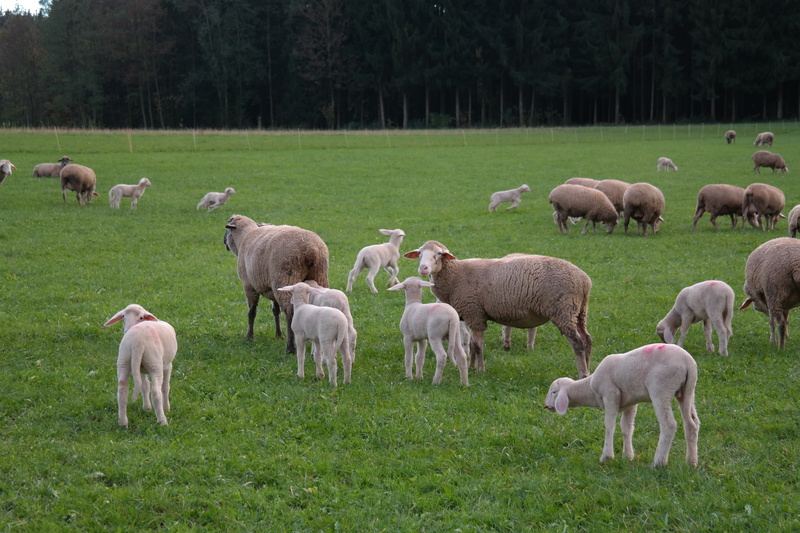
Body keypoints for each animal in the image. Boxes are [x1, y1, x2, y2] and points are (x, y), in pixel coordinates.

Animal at [223, 214, 329, 354]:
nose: (224, 242)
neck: (244, 237)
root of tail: (311, 250)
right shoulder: (272, 289)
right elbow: (276, 311)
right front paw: (278, 335)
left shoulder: (249, 285)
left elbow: (252, 312)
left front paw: (249, 337)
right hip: (318, 276)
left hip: (286, 278)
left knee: (290, 312)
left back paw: (290, 347)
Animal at [404, 241, 593, 378]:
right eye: (420, 254)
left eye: (438, 254)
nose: (423, 268)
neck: (455, 276)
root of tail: (584, 280)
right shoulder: (473, 315)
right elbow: (471, 344)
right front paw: (471, 366)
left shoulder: (474, 312)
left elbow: (478, 345)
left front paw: (480, 370)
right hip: (579, 311)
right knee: (587, 340)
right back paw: (589, 371)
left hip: (564, 310)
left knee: (577, 343)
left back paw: (582, 373)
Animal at [544, 343, 699, 467]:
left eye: (553, 392)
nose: (546, 406)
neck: (589, 389)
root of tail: (688, 362)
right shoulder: (631, 402)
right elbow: (626, 427)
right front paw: (628, 456)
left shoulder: (610, 394)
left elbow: (609, 425)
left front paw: (607, 456)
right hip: (687, 391)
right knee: (692, 424)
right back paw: (691, 462)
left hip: (661, 388)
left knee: (669, 425)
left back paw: (658, 462)